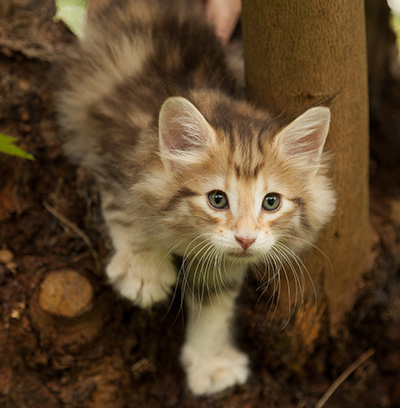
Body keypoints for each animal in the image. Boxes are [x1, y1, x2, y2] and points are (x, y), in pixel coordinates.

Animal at [54, 0, 336, 396]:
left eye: (271, 202)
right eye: (217, 199)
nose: (245, 238)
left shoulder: (222, 263)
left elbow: (215, 304)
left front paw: (210, 363)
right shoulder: (109, 146)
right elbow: (125, 206)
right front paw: (143, 271)